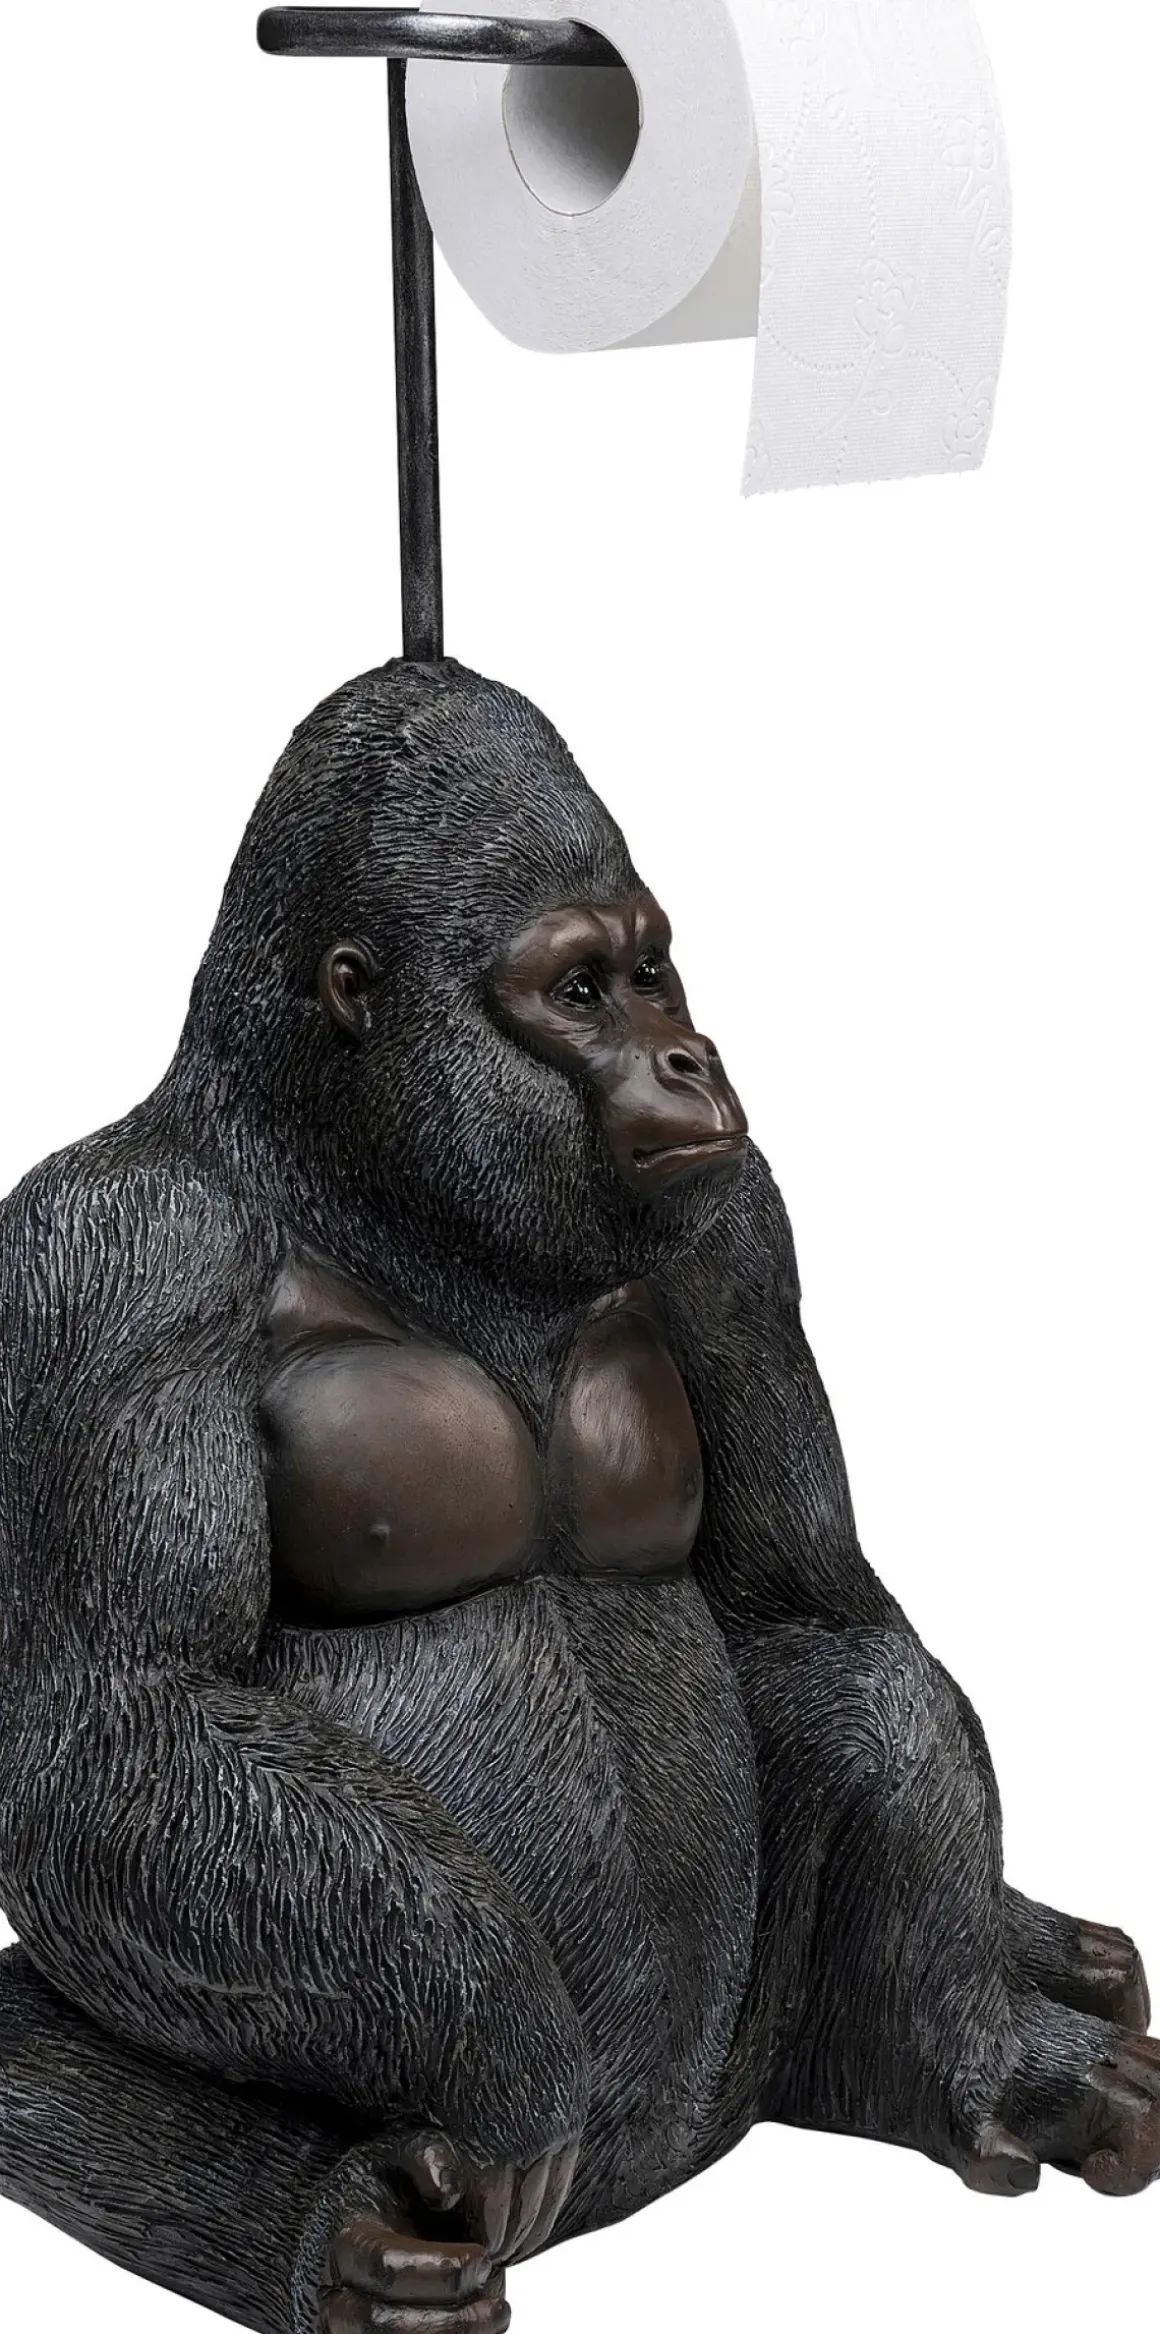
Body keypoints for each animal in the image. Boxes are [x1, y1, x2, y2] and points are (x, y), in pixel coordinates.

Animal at [0, 657, 1157, 2334]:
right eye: (580, 992)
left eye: (654, 970)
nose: (691, 1053)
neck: (352, 1170)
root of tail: (646, 2187)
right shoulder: (107, 1257)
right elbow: (114, 1726)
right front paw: (502, 2044)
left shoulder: (735, 1212)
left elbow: (809, 1603)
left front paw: (980, 2025)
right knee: (39, 2033)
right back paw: (343, 2235)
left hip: (732, 2069)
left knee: (834, 1694)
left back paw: (947, 2055)